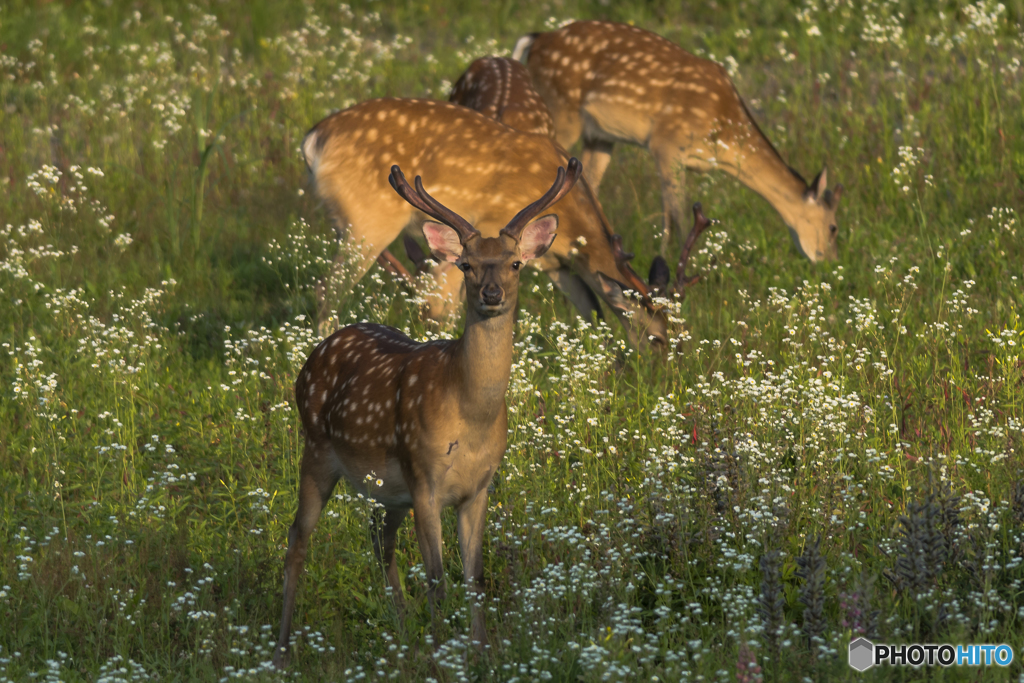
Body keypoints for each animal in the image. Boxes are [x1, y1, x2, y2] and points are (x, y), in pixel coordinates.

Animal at [272, 160, 581, 667]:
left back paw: (402, 638)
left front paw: (479, 654)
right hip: (316, 450)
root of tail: (316, 351)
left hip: (387, 490)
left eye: (515, 263)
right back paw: (281, 650)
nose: (491, 293)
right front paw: (444, 657)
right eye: (466, 264)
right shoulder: (424, 479)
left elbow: (475, 578)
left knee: (379, 540)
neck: (471, 417)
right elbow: (437, 579)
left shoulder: (478, 487)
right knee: (298, 539)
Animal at [301, 97, 671, 348]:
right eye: (657, 338)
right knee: (325, 291)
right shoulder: (489, 227)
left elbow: (590, 308)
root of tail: (312, 141)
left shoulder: (553, 261)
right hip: (369, 221)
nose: (661, 374)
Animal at [516, 20, 843, 262]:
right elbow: (677, 217)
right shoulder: (667, 143)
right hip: (561, 109)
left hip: (598, 135)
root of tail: (536, 40)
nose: (829, 261)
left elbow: (668, 216)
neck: (723, 138)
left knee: (588, 188)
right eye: (833, 227)